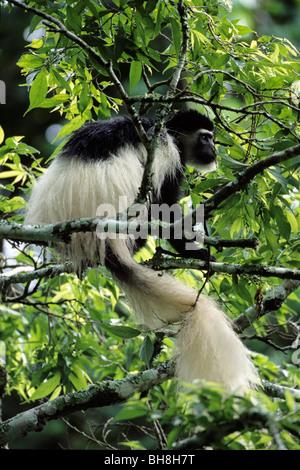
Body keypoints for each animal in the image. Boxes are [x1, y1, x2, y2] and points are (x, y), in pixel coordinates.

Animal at [25, 111, 258, 392]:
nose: (213, 150)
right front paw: (194, 251)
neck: (168, 131)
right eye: (206, 138)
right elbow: (166, 209)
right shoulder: (170, 157)